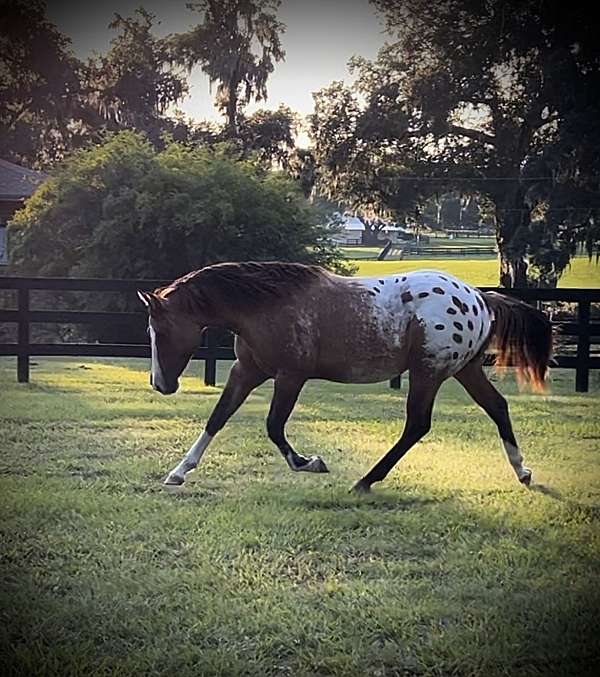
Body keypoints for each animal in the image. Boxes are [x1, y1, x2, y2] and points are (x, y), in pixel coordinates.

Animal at [137, 260, 552, 492]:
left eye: (159, 330)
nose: (161, 385)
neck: (266, 305)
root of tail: (480, 298)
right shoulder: (248, 371)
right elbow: (217, 418)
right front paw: (178, 472)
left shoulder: (291, 376)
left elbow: (274, 427)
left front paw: (310, 463)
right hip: (464, 370)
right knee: (497, 407)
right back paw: (522, 472)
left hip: (428, 372)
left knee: (417, 425)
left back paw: (366, 480)